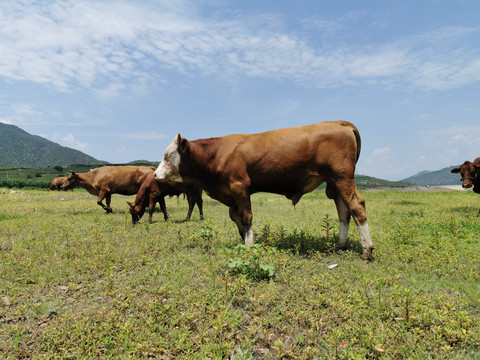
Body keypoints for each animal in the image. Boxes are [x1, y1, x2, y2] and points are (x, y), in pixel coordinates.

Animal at [154, 122, 376, 260]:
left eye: (168, 155)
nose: (155, 174)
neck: (217, 154)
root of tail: (339, 123)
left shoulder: (239, 186)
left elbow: (246, 217)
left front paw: (249, 246)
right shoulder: (233, 193)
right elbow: (235, 216)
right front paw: (244, 238)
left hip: (342, 178)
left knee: (357, 206)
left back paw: (367, 250)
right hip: (335, 184)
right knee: (344, 212)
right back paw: (340, 245)